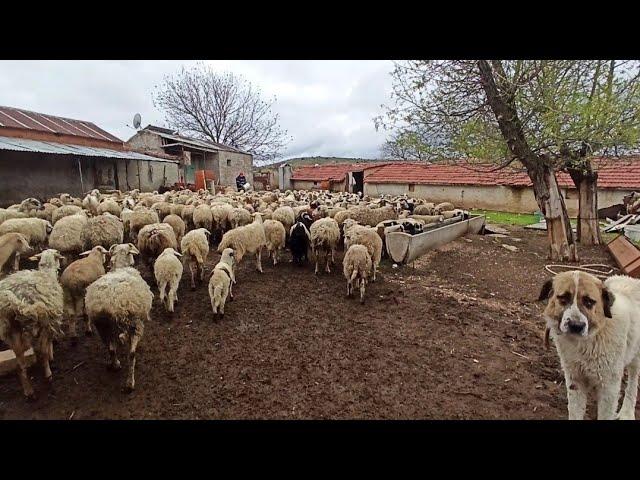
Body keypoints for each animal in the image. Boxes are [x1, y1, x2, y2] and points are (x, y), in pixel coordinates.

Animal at [0, 249, 65, 400]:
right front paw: (51, 356)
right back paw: (48, 375)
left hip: (12, 332)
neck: (47, 273)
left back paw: (28, 391)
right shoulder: (49, 324)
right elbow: (47, 348)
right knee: (41, 353)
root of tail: (15, 301)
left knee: (20, 365)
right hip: (34, 326)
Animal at [84, 242, 152, 392]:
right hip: (135, 324)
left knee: (111, 349)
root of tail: (115, 302)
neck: (121, 266)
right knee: (131, 354)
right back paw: (130, 383)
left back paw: (114, 365)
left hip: (102, 326)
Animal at [540, 270, 640, 420]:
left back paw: (626, 413)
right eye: (563, 298)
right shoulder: (575, 380)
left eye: (589, 302)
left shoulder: (609, 388)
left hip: (636, 357)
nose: (576, 326)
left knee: (632, 383)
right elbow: (575, 412)